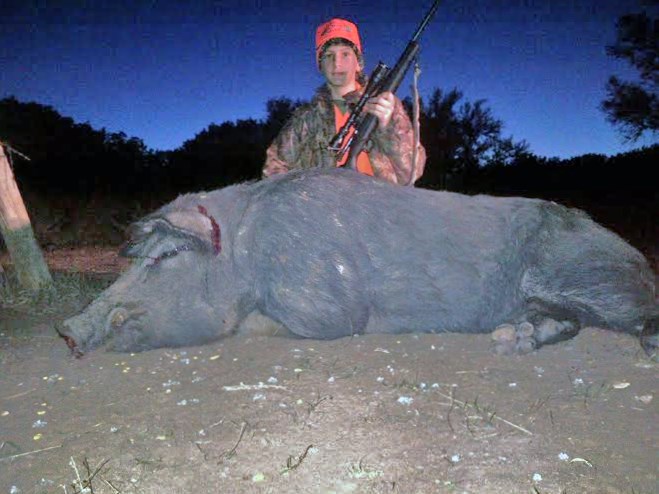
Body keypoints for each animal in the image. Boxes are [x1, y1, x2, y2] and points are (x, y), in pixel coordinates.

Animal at [58, 168, 658, 358]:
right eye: (138, 257)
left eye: (166, 256)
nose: (65, 330)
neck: (247, 256)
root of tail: (635, 253)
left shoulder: (329, 308)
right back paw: (512, 340)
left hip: (583, 273)